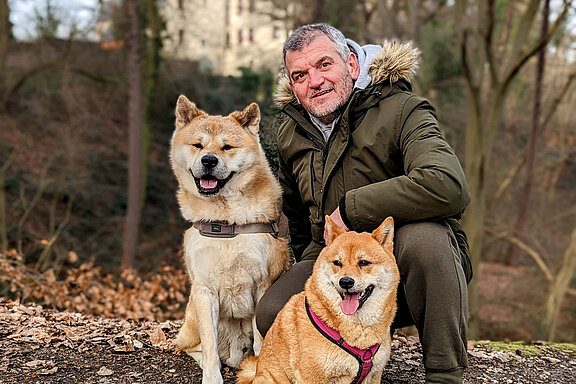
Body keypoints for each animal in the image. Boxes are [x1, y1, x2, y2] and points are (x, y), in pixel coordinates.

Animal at [170, 95, 288, 384]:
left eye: (227, 147)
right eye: (198, 145)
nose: (209, 160)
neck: (225, 224)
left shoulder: (262, 285)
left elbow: (260, 341)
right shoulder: (204, 290)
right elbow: (209, 346)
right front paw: (212, 377)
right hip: (192, 318)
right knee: (192, 346)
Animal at [236, 218, 398, 382]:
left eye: (364, 262)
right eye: (337, 263)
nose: (345, 282)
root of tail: (257, 371)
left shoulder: (373, 375)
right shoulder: (311, 377)